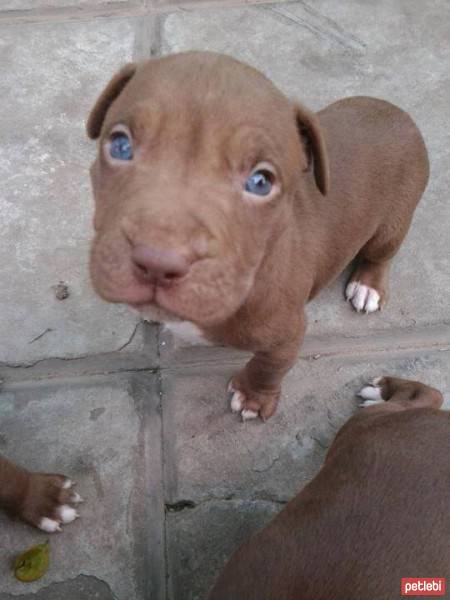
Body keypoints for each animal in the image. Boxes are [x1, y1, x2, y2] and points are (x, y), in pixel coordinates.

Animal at [85, 51, 428, 420]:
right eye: (120, 145)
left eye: (260, 182)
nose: (157, 262)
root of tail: (401, 115)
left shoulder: (286, 334)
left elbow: (269, 366)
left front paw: (253, 396)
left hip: (394, 221)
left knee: (382, 253)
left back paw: (368, 285)